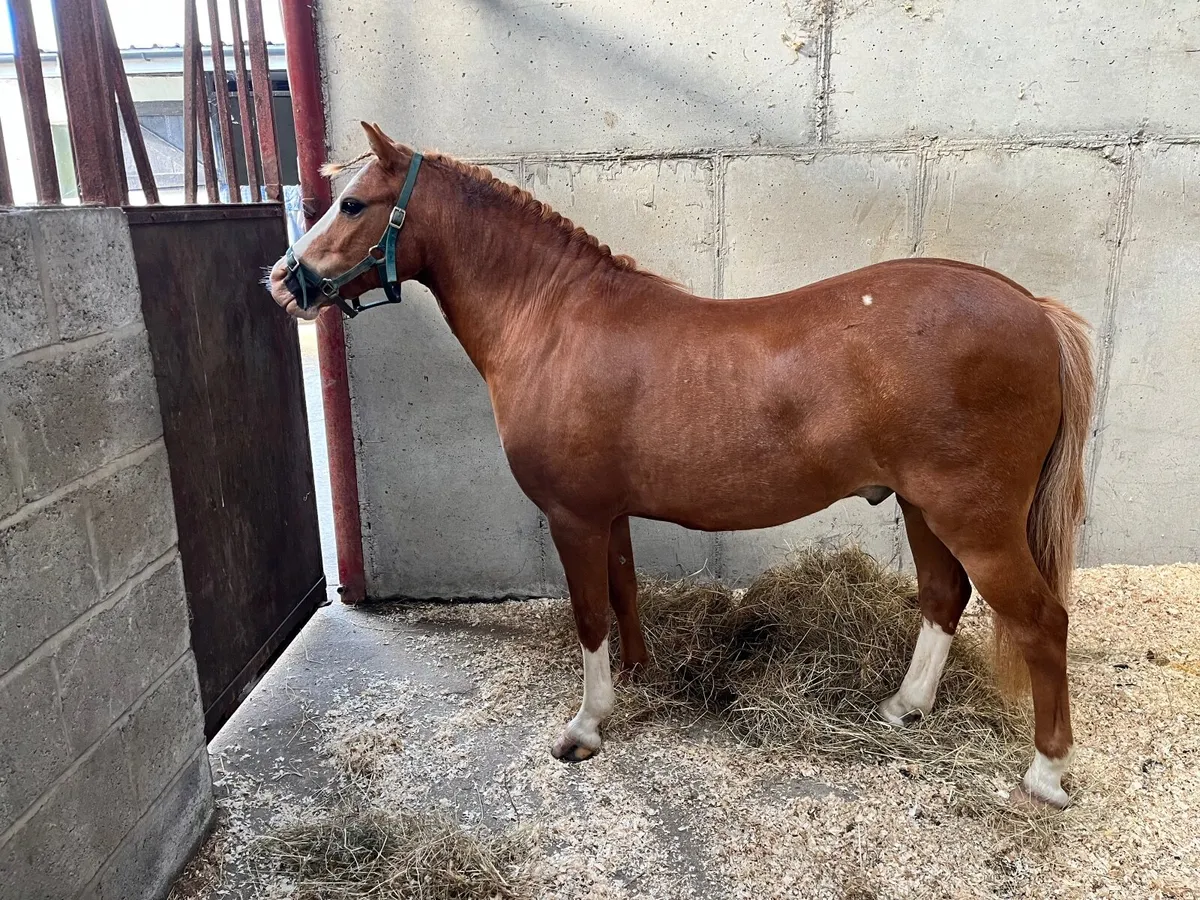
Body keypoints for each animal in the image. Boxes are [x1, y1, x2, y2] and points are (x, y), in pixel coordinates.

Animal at [268, 122, 1094, 808]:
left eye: (352, 203)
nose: (285, 281)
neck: (554, 320)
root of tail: (1033, 310)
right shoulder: (607, 513)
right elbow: (623, 590)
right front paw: (637, 675)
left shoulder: (572, 516)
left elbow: (587, 615)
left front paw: (587, 727)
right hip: (923, 507)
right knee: (942, 596)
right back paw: (904, 708)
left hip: (973, 517)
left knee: (1041, 620)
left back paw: (1046, 773)